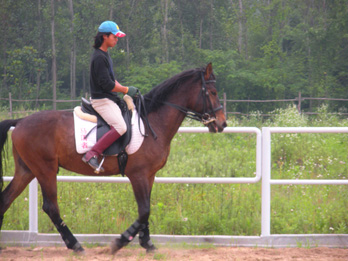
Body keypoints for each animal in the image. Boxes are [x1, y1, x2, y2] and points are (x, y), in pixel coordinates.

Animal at [0, 63, 226, 254]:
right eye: (213, 93)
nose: (222, 124)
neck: (152, 122)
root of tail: (21, 121)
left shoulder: (149, 175)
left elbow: (146, 210)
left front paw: (147, 244)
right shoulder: (138, 175)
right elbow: (144, 210)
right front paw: (121, 241)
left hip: (27, 170)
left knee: (5, 199)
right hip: (45, 170)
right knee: (51, 207)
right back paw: (76, 245)